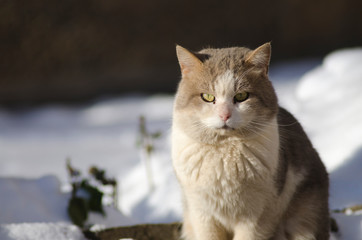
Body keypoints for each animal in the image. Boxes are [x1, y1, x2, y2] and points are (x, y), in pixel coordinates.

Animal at [171, 43, 330, 240]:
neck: (225, 154)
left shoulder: (256, 217)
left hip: (304, 218)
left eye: (241, 96)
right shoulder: (201, 213)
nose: (225, 115)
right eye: (207, 97)